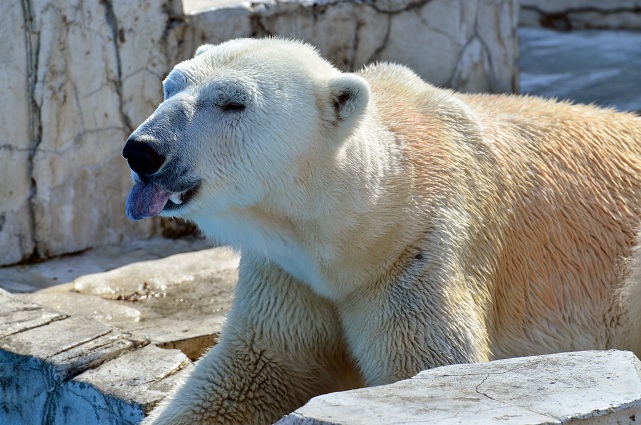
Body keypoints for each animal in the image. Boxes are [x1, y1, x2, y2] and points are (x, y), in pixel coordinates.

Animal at [122, 37, 640, 424]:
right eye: (171, 85)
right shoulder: (286, 272)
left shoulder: (419, 252)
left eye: (233, 102)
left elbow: (421, 367)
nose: (143, 150)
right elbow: (249, 371)